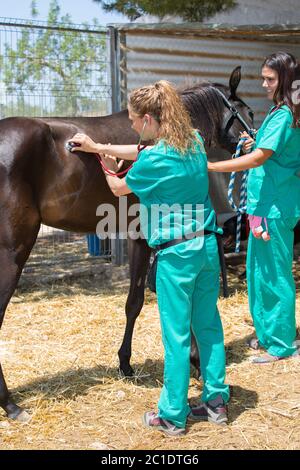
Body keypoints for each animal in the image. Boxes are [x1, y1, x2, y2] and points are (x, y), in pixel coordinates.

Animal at [0, 65, 253, 418]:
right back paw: (10, 404)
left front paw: (125, 364)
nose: (255, 141)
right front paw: (194, 361)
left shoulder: (136, 237)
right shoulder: (147, 237)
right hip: (13, 253)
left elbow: (133, 302)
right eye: (247, 112)